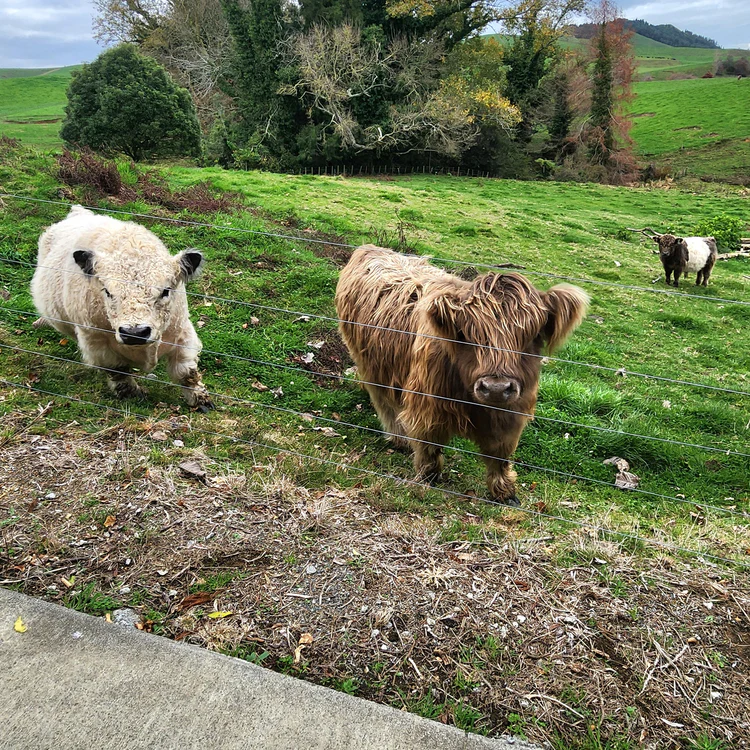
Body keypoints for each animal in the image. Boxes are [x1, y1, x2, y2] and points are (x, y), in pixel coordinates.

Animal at [30, 205, 212, 410]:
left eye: (165, 291)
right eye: (108, 292)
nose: (135, 333)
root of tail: (78, 212)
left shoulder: (183, 332)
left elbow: (186, 372)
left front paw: (200, 399)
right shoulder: (96, 343)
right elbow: (118, 370)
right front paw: (132, 393)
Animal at [335, 245, 589, 506]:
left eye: (532, 335)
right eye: (467, 334)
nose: (496, 388)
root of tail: (370, 248)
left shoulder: (511, 414)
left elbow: (500, 456)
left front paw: (505, 492)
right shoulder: (427, 406)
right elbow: (428, 443)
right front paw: (427, 477)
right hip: (371, 364)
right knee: (384, 402)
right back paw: (399, 439)